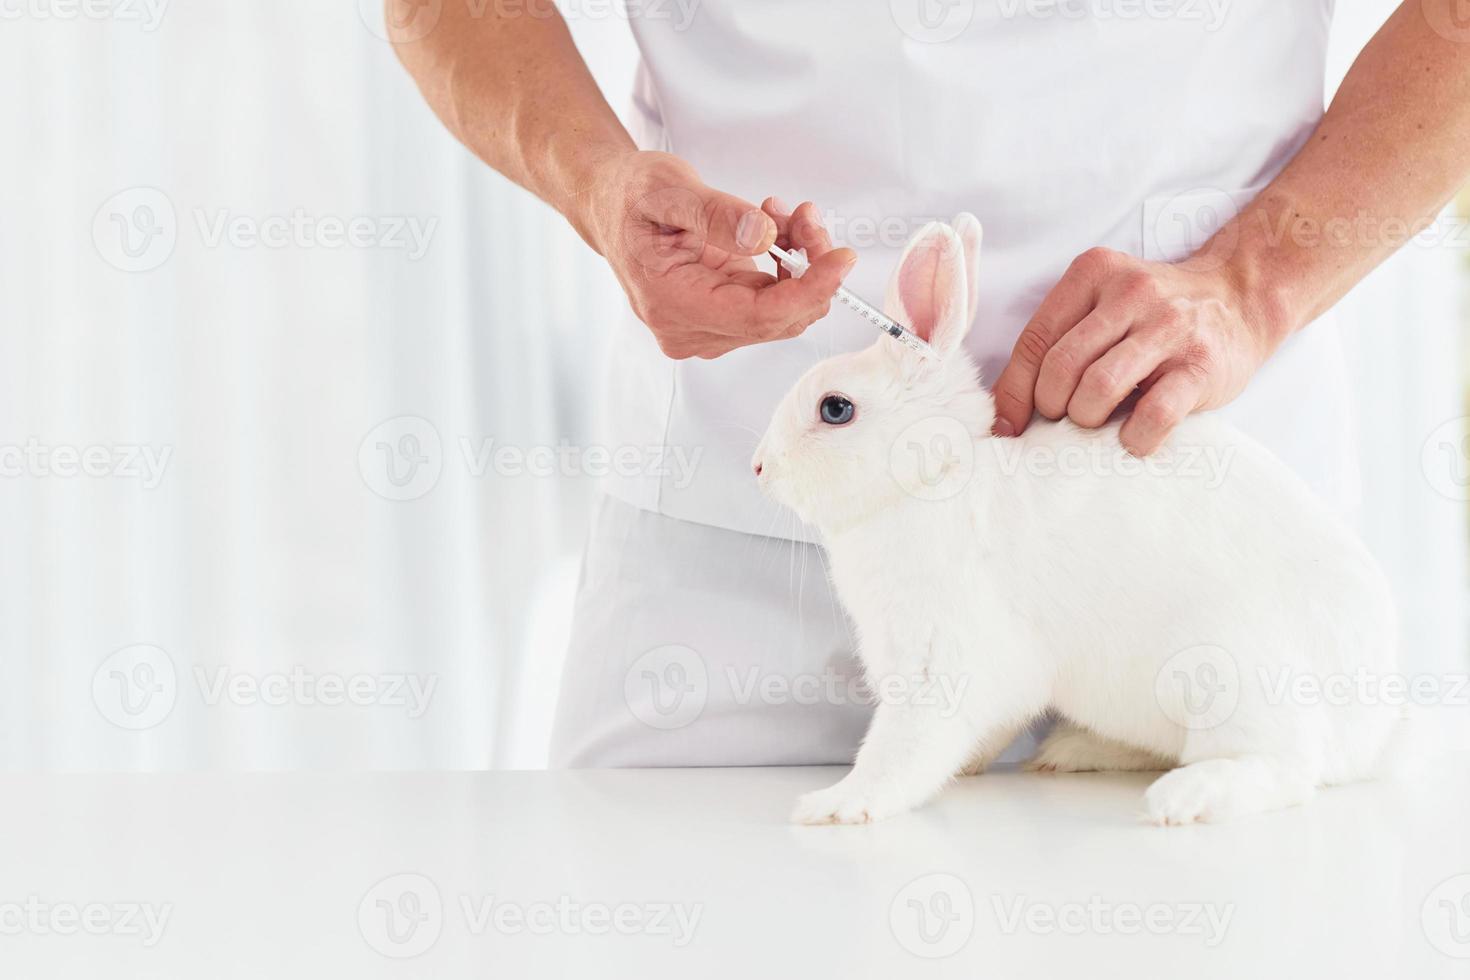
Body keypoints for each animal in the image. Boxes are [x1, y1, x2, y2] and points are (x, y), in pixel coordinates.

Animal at [758, 215, 1399, 828]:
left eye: (835, 408)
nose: (760, 466)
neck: (934, 479)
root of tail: (1375, 737)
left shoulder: (939, 660)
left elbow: (903, 751)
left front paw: (837, 805)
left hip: (1234, 675)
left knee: (1285, 766)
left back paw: (1181, 799)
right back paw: (1073, 752)